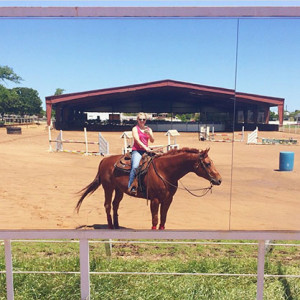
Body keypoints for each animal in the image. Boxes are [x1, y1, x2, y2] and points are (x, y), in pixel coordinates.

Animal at [76, 148, 221, 230]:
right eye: (208, 163)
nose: (219, 180)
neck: (165, 171)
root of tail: (104, 160)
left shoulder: (168, 200)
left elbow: (163, 218)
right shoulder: (155, 200)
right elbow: (155, 219)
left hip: (119, 190)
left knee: (115, 204)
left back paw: (117, 226)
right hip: (108, 187)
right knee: (107, 205)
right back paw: (111, 227)